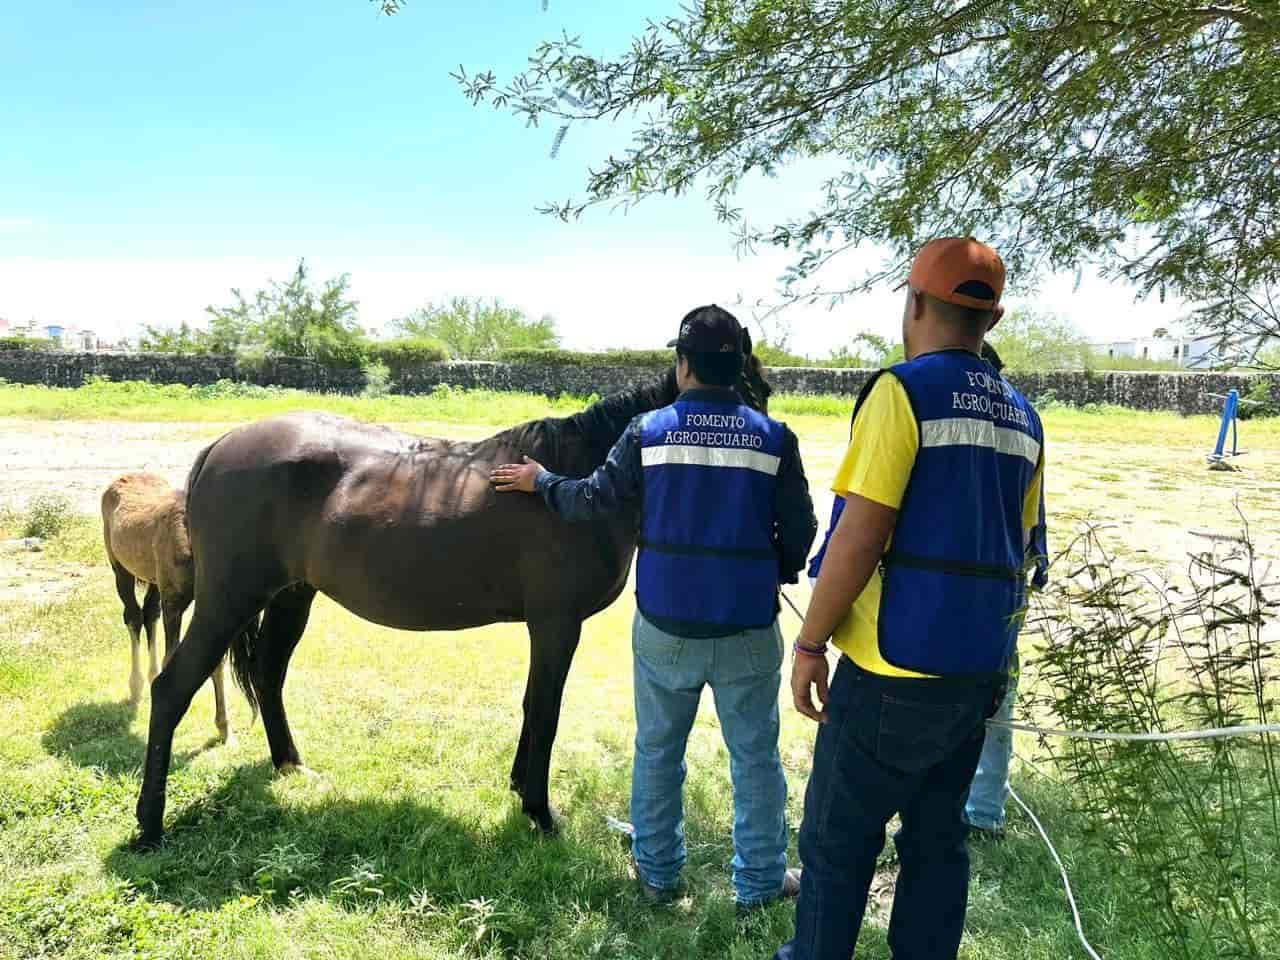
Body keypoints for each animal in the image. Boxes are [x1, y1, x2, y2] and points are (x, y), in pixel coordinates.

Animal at [137, 358, 768, 849]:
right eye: (745, 394)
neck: (574, 482)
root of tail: (220, 447)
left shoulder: (546, 627)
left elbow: (532, 705)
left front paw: (519, 789)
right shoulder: (557, 624)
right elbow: (546, 710)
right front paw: (540, 814)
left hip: (292, 597)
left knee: (268, 676)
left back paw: (291, 765)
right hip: (228, 602)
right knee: (170, 690)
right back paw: (149, 827)